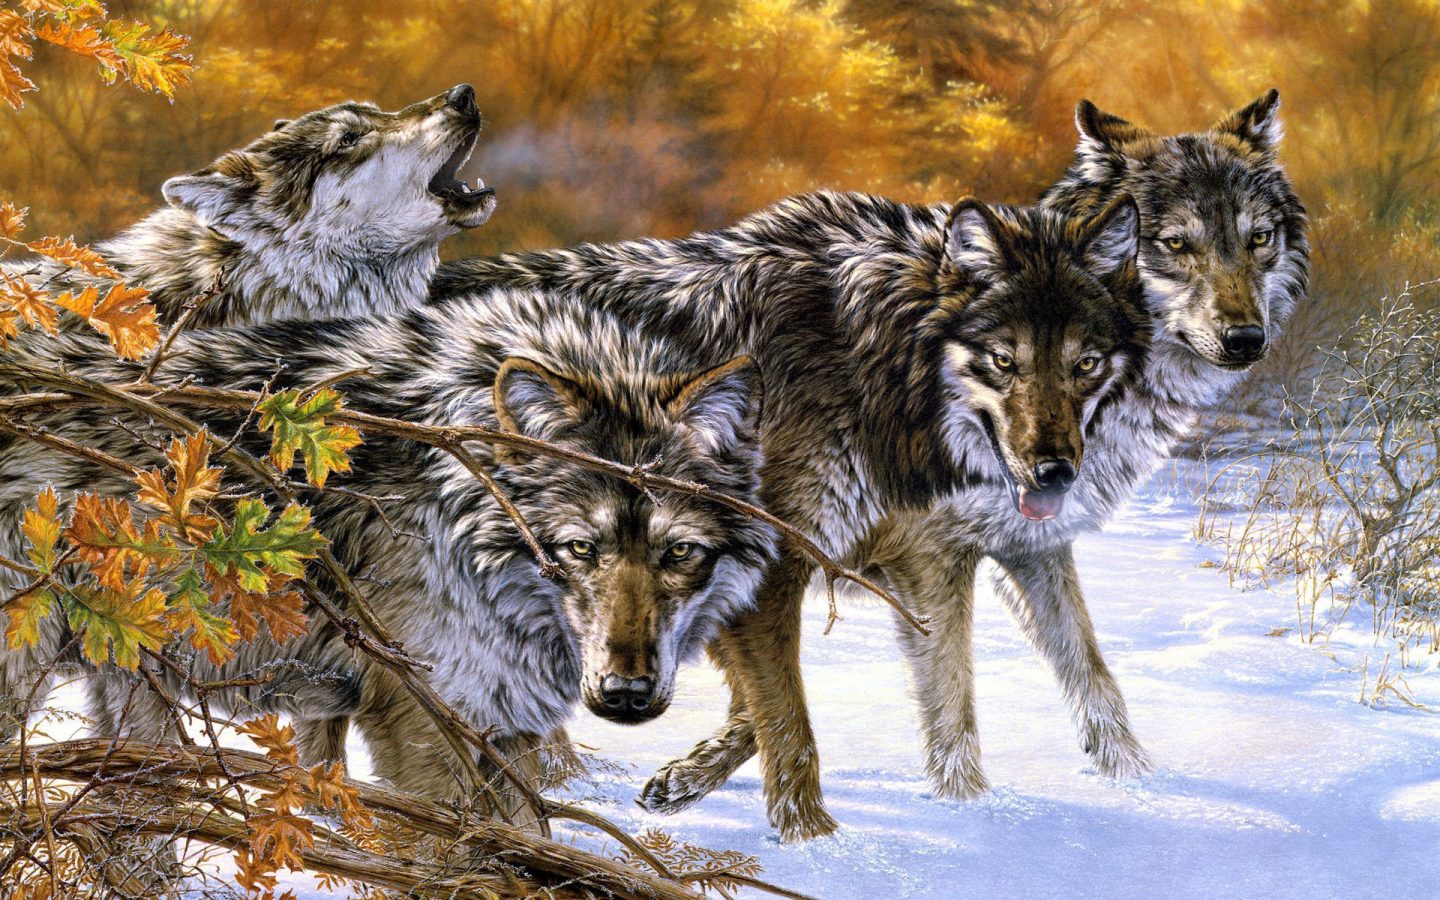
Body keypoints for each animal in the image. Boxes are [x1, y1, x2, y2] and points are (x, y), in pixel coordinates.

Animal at [429, 190, 1149, 839]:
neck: (871, 365)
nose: (1056, 473)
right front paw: (816, 840)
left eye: (1085, 364)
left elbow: (1088, 674)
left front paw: (1135, 782)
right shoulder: (786, 565)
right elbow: (795, 717)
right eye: (1004, 361)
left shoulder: (986, 551)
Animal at [632, 91, 1311, 816]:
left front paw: (1139, 787)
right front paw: (970, 810)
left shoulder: (1030, 545)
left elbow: (1092, 677)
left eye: (1258, 238)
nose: (1246, 339)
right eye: (1177, 244)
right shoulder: (919, 561)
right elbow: (942, 700)